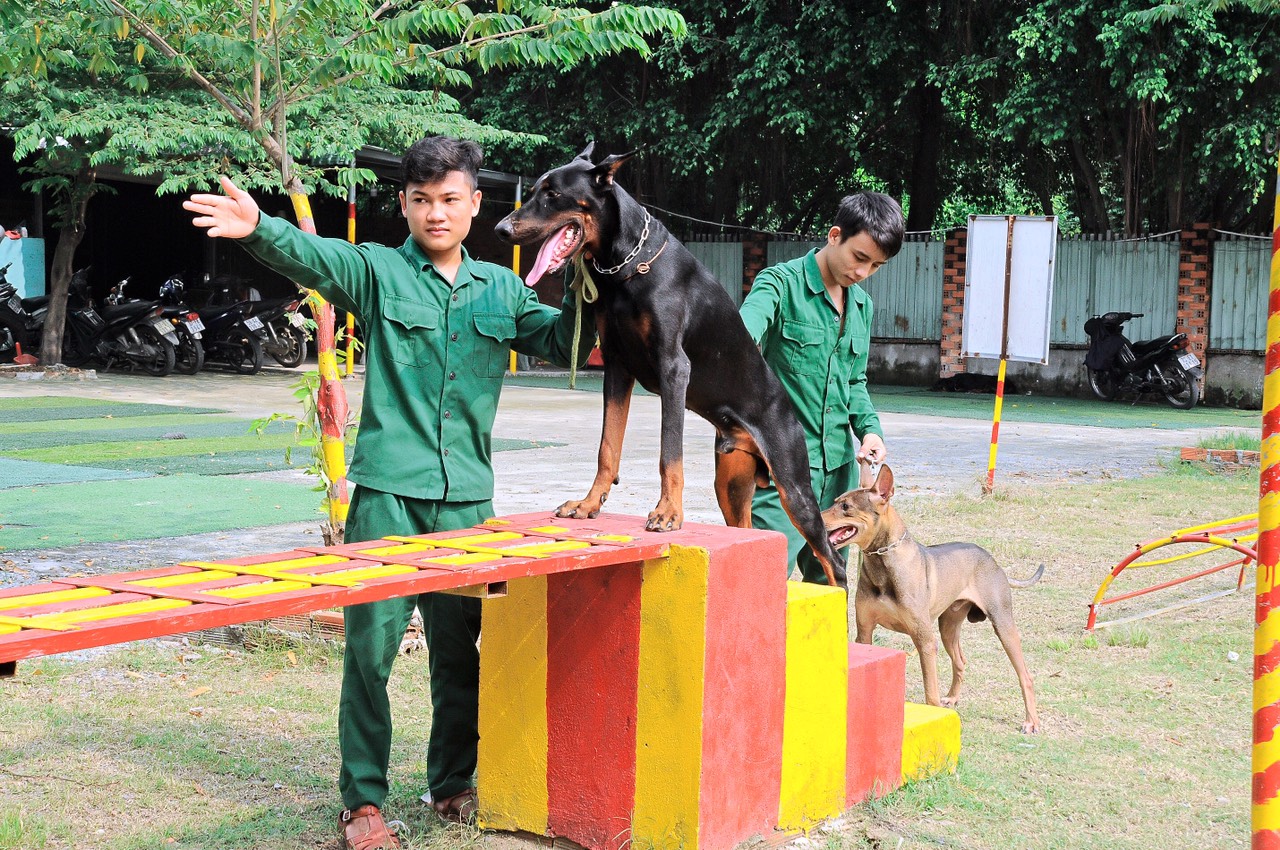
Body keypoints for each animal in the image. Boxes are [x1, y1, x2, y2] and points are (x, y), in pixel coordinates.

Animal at [494, 144, 844, 583]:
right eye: (533, 190)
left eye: (553, 194)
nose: (501, 230)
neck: (627, 265)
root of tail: (787, 409)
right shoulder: (616, 366)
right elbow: (607, 447)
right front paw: (589, 503)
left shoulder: (674, 367)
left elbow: (669, 452)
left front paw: (668, 514)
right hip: (731, 484)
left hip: (793, 484)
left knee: (833, 560)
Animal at [829, 460, 1039, 732]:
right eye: (836, 501)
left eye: (846, 507)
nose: (817, 517)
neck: (883, 562)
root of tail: (992, 560)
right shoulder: (864, 632)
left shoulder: (925, 640)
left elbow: (930, 690)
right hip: (948, 626)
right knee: (960, 661)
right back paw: (952, 698)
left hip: (1002, 624)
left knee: (1025, 675)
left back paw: (1031, 721)